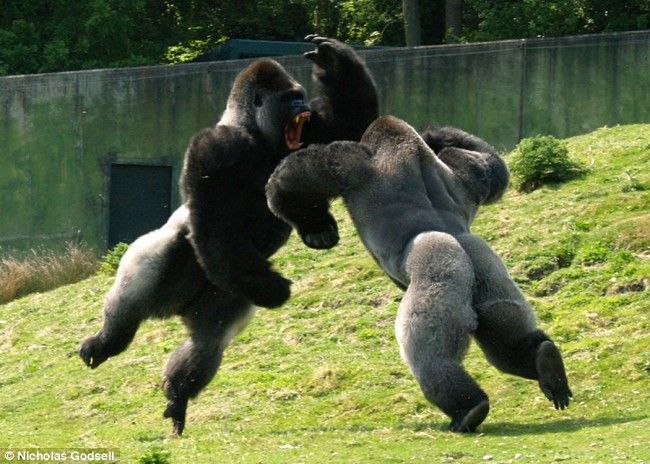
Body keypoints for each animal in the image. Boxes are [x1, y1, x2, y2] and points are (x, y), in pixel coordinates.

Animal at [79, 35, 378, 436]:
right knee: (133, 296)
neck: (254, 133)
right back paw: (107, 340)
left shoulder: (315, 130)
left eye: (300, 97)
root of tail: (176, 305)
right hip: (171, 258)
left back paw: (178, 395)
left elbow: (352, 125)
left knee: (208, 341)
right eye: (290, 99)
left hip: (227, 289)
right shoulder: (215, 148)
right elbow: (214, 220)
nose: (301, 106)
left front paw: (334, 60)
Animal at [266, 115, 572, 433]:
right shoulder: (469, 174)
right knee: (504, 342)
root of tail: (455, 240)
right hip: (489, 270)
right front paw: (437, 136)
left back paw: (467, 407)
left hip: (439, 268)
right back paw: (545, 362)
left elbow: (292, 182)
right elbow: (494, 168)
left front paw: (315, 229)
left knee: (430, 355)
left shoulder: (347, 162)